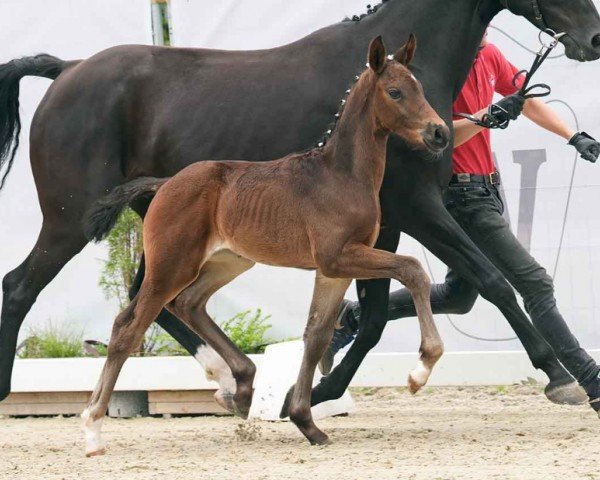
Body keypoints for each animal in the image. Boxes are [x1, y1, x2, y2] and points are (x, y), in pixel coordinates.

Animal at [81, 36, 446, 454]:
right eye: (395, 92)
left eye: (420, 88)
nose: (440, 133)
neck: (342, 176)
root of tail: (165, 183)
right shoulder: (339, 257)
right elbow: (412, 269)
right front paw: (421, 369)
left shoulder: (333, 270)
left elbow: (315, 334)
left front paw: (306, 422)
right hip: (171, 266)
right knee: (129, 326)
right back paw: (92, 430)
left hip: (229, 262)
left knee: (188, 304)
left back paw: (242, 385)